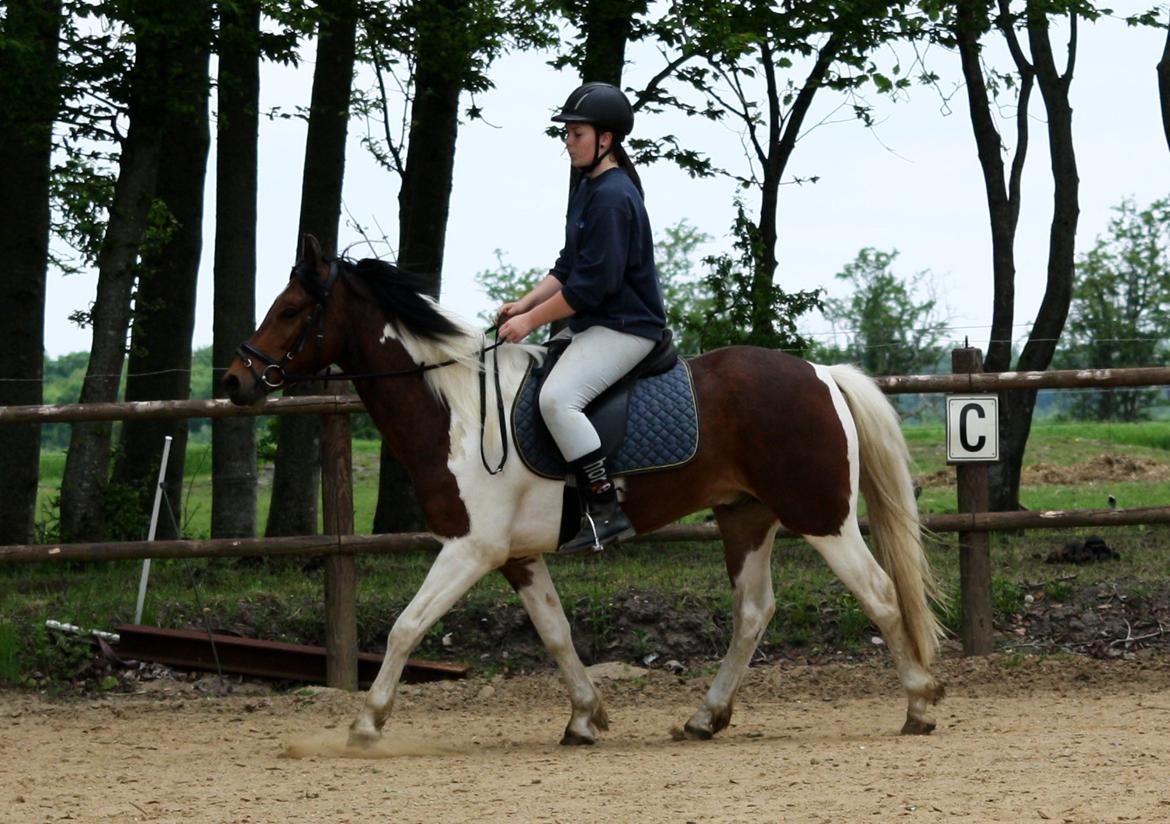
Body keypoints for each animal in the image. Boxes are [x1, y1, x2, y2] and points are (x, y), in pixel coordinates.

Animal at [223, 235, 945, 744]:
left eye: (290, 310)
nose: (235, 381)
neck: (458, 411)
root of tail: (820, 372)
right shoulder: (515, 556)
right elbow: (555, 632)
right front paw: (584, 718)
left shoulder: (469, 548)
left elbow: (406, 627)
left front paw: (368, 721)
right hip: (745, 516)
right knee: (752, 612)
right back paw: (706, 717)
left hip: (821, 517)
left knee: (881, 596)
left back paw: (919, 702)